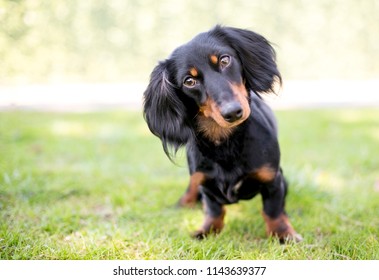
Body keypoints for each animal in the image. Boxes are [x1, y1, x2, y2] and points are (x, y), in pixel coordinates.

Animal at [143, 25, 302, 242]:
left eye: (224, 60)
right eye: (189, 81)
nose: (233, 112)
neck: (226, 143)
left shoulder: (273, 179)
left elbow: (273, 210)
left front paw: (283, 233)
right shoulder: (205, 183)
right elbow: (214, 210)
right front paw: (207, 230)